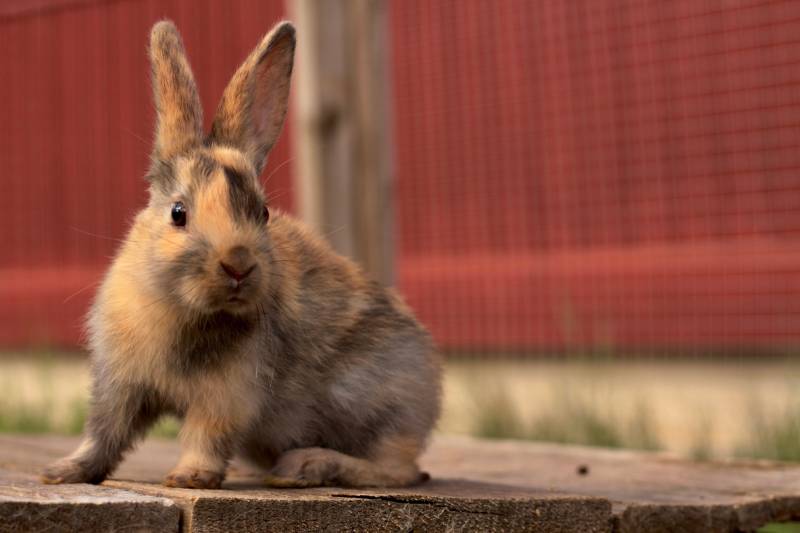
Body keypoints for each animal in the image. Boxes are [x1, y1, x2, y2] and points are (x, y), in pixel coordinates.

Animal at [40, 20, 441, 490]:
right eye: (178, 213)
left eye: (262, 213)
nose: (238, 265)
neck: (188, 311)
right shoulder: (120, 386)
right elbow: (104, 434)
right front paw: (62, 473)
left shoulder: (227, 396)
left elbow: (206, 434)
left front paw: (190, 478)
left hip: (379, 410)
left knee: (398, 470)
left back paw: (305, 466)